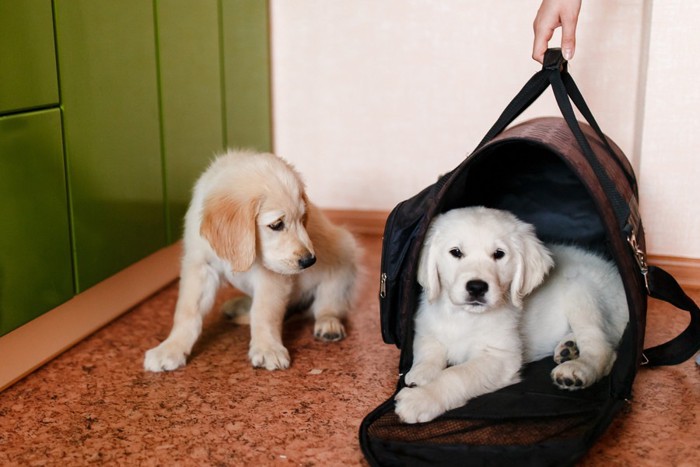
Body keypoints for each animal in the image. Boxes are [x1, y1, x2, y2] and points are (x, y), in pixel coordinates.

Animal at [144, 150, 358, 372]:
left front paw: (267, 348)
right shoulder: (200, 266)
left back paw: (329, 324)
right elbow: (187, 311)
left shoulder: (272, 276)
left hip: (343, 257)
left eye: (302, 219)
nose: (310, 261)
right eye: (277, 224)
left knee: (328, 304)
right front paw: (170, 348)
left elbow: (264, 311)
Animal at [394, 207, 628, 424]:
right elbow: (429, 350)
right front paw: (422, 373)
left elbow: (456, 375)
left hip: (581, 290)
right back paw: (569, 348)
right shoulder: (427, 327)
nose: (477, 287)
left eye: (499, 254)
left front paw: (422, 398)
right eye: (456, 252)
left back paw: (577, 369)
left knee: (603, 348)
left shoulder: (499, 356)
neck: (465, 316)